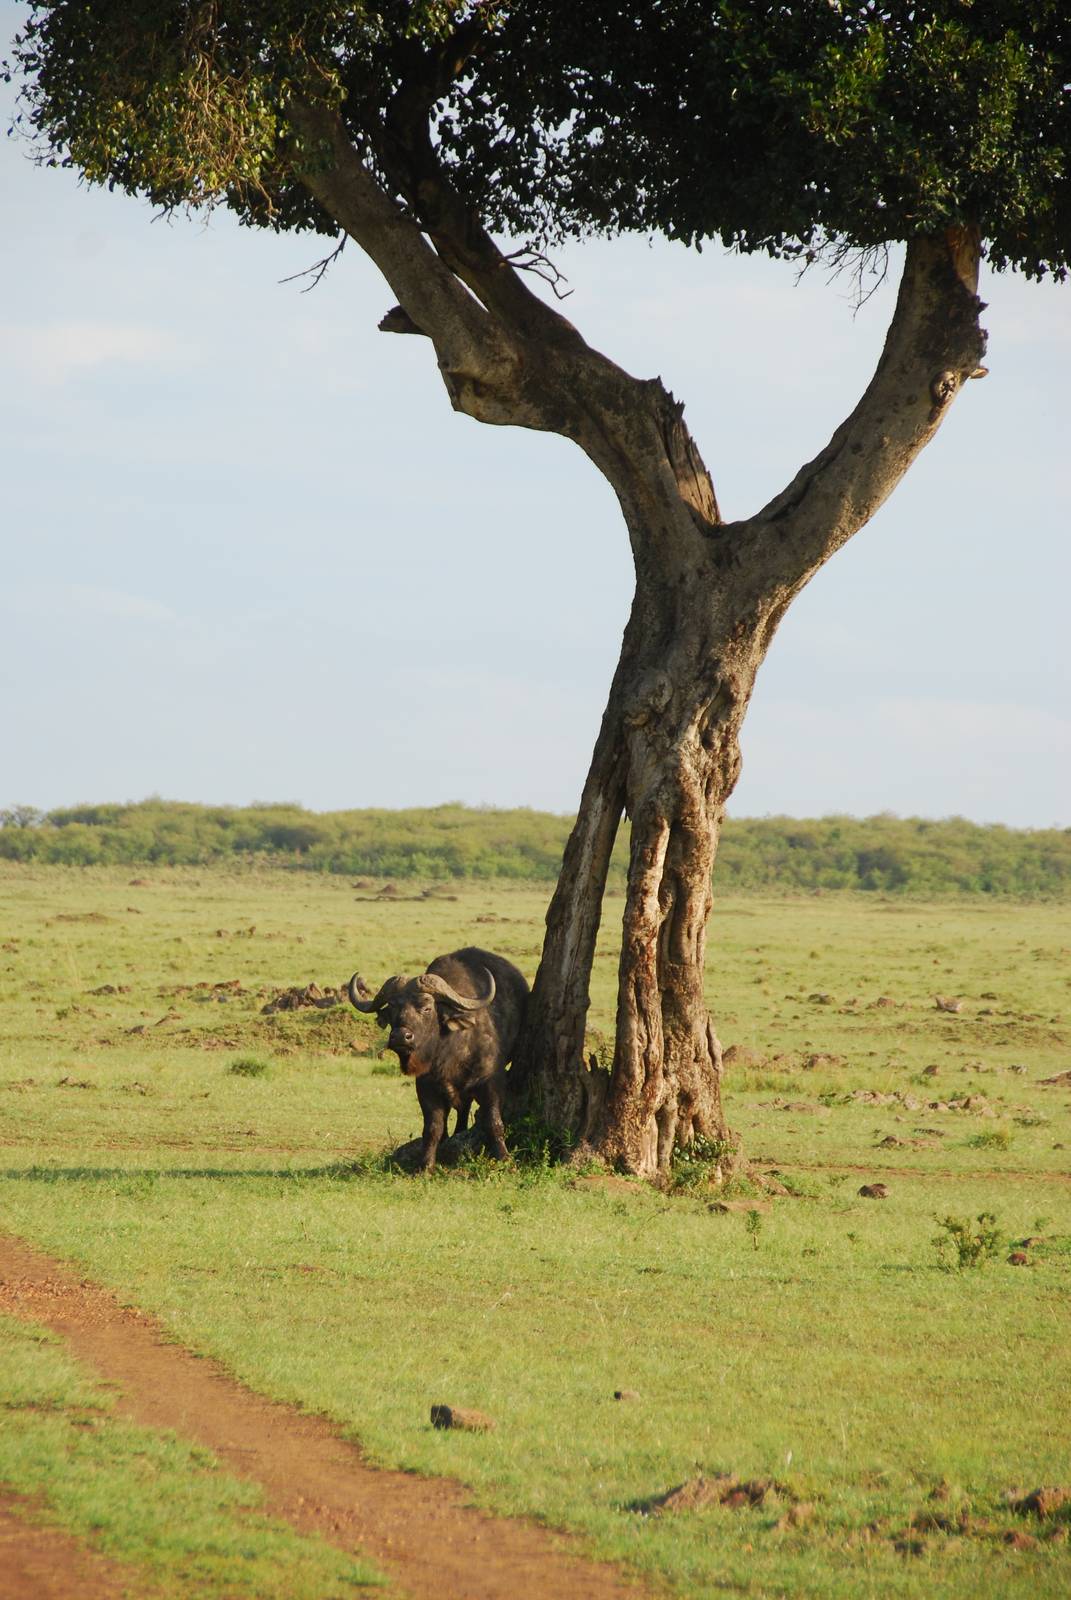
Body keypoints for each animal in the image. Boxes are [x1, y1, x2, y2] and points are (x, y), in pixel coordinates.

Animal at [347, 946, 529, 1172]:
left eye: (426, 1008)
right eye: (392, 1008)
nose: (400, 1036)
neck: (448, 1053)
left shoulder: (492, 1080)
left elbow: (494, 1121)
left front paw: (505, 1159)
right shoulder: (426, 1086)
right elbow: (433, 1127)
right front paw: (426, 1165)